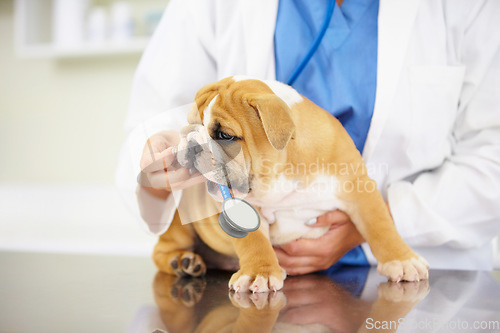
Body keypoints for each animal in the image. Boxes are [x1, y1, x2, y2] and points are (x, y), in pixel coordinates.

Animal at [153, 76, 430, 292]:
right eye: (190, 126)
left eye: (225, 135)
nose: (191, 142)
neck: (283, 172)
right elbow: (254, 241)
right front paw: (259, 272)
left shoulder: (359, 188)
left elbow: (380, 226)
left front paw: (402, 260)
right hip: (178, 224)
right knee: (161, 251)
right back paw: (183, 262)